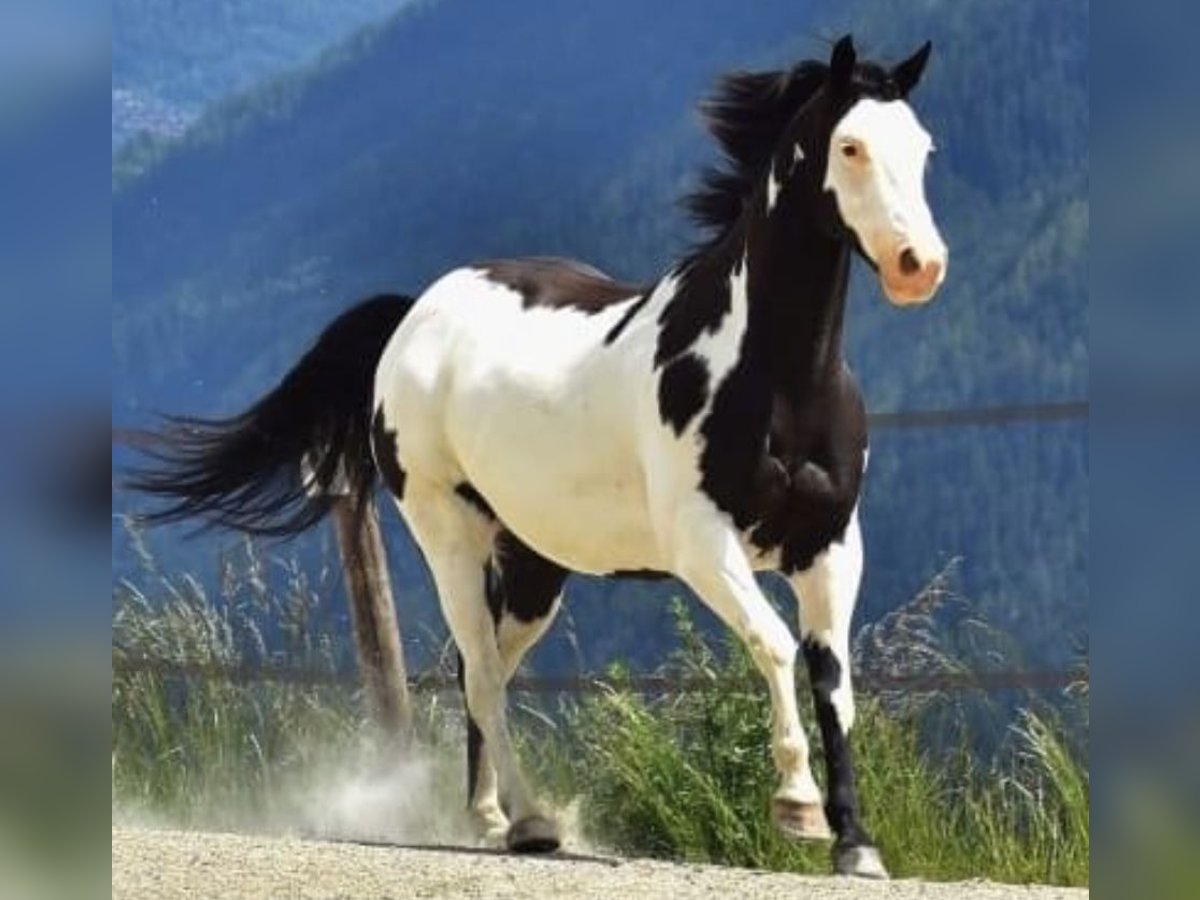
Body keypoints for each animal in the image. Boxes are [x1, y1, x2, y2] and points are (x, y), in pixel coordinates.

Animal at [128, 35, 946, 878]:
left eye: (922, 149)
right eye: (850, 147)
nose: (920, 265)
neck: (776, 378)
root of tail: (415, 314)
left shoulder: (830, 547)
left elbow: (833, 682)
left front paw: (856, 844)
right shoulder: (702, 544)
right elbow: (776, 648)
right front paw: (797, 806)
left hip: (531, 565)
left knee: (477, 666)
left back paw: (488, 814)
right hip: (448, 535)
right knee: (485, 673)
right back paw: (527, 821)